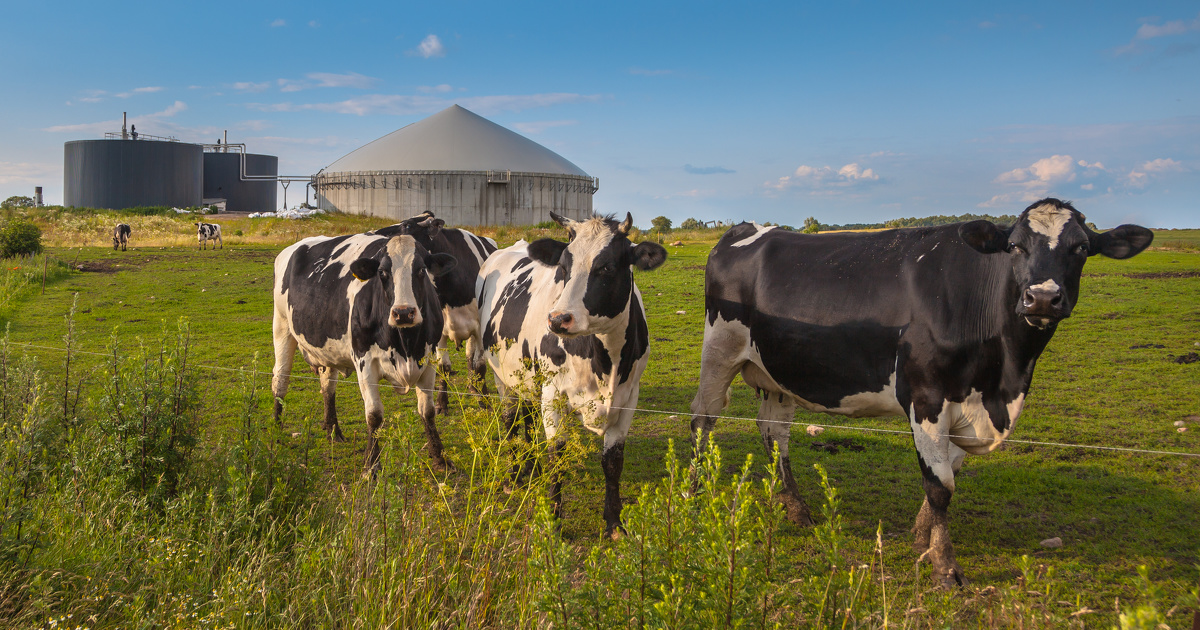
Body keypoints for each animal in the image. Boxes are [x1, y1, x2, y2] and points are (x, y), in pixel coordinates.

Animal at [270, 230, 456, 465]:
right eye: (382, 272)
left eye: (421, 270)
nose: (404, 313)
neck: (405, 344)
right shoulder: (364, 361)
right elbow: (374, 415)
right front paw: (371, 464)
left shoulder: (428, 359)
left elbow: (428, 411)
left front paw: (440, 458)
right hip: (282, 326)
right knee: (280, 380)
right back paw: (277, 432)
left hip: (326, 349)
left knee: (327, 386)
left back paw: (333, 431)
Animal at [367, 210, 494, 412]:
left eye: (407, 225)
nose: (372, 233)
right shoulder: (439, 331)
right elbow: (443, 367)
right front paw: (442, 402)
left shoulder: (480, 328)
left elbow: (480, 365)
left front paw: (485, 400)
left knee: (471, 358)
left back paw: (474, 387)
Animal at [475, 211, 667, 535]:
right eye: (563, 267)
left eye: (606, 267)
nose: (558, 319)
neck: (605, 363)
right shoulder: (553, 395)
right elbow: (558, 456)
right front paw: (553, 521)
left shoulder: (629, 398)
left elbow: (613, 461)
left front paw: (614, 522)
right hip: (504, 377)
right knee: (511, 421)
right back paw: (515, 475)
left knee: (527, 417)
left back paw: (531, 466)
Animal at [691, 199, 1156, 588]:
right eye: (1015, 246)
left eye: (1081, 248)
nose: (1042, 298)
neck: (1003, 380)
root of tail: (746, 228)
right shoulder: (927, 396)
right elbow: (940, 485)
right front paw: (945, 566)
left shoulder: (969, 405)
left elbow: (950, 472)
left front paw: (923, 536)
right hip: (719, 350)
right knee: (703, 418)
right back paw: (694, 491)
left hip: (778, 372)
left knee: (774, 433)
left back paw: (796, 508)